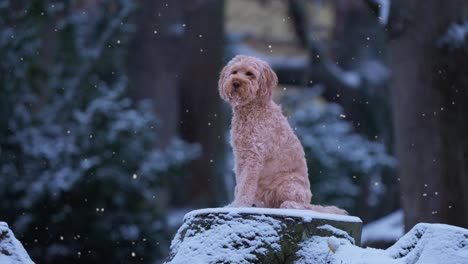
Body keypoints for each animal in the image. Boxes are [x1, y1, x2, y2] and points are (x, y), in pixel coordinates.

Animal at [219, 55, 348, 214]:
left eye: (250, 74)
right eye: (234, 72)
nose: (236, 82)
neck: (251, 111)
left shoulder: (254, 156)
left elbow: (245, 184)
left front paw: (239, 205)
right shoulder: (240, 157)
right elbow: (239, 185)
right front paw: (235, 204)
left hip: (288, 184)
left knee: (303, 206)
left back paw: (290, 205)